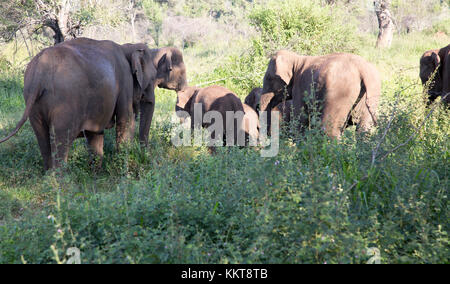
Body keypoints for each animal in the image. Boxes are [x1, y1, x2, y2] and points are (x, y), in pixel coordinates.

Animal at [0, 37, 186, 171]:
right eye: (152, 76)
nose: (145, 156)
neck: (127, 46)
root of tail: (39, 74)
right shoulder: (124, 82)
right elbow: (126, 121)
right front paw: (123, 171)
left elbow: (95, 133)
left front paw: (96, 175)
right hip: (64, 103)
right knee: (62, 138)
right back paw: (61, 185)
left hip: (33, 102)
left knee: (42, 137)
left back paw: (48, 178)